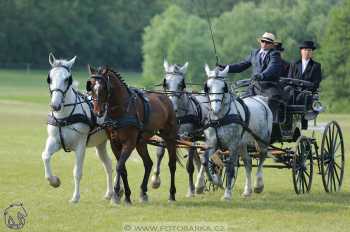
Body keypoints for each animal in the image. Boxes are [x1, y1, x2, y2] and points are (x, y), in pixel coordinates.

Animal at [40, 53, 113, 202]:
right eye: (49, 78)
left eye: (67, 79)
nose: (55, 105)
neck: (64, 117)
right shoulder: (54, 141)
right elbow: (45, 156)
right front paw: (54, 181)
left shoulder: (80, 146)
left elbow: (77, 172)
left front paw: (75, 197)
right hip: (101, 144)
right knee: (109, 165)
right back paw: (110, 193)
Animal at [86, 66, 179, 204]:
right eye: (91, 87)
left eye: (103, 88)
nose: (98, 112)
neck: (121, 110)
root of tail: (166, 98)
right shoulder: (115, 144)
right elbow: (123, 169)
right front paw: (126, 196)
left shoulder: (129, 143)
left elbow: (119, 166)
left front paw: (116, 194)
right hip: (141, 142)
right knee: (148, 163)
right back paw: (143, 192)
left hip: (169, 137)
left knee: (172, 165)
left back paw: (172, 195)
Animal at [151, 60, 211, 197]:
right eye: (166, 83)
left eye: (181, 84)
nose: (171, 107)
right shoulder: (166, 135)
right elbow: (159, 153)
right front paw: (155, 180)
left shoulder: (189, 137)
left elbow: (189, 166)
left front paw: (191, 190)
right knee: (198, 158)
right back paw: (201, 184)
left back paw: (199, 185)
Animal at [200, 64, 274, 200]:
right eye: (208, 87)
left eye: (223, 87)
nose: (215, 108)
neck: (220, 118)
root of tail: (261, 100)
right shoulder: (213, 143)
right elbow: (205, 160)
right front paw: (205, 184)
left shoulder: (232, 145)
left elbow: (230, 168)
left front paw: (227, 194)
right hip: (242, 144)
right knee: (248, 162)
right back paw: (247, 191)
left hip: (262, 140)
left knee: (262, 157)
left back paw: (258, 185)